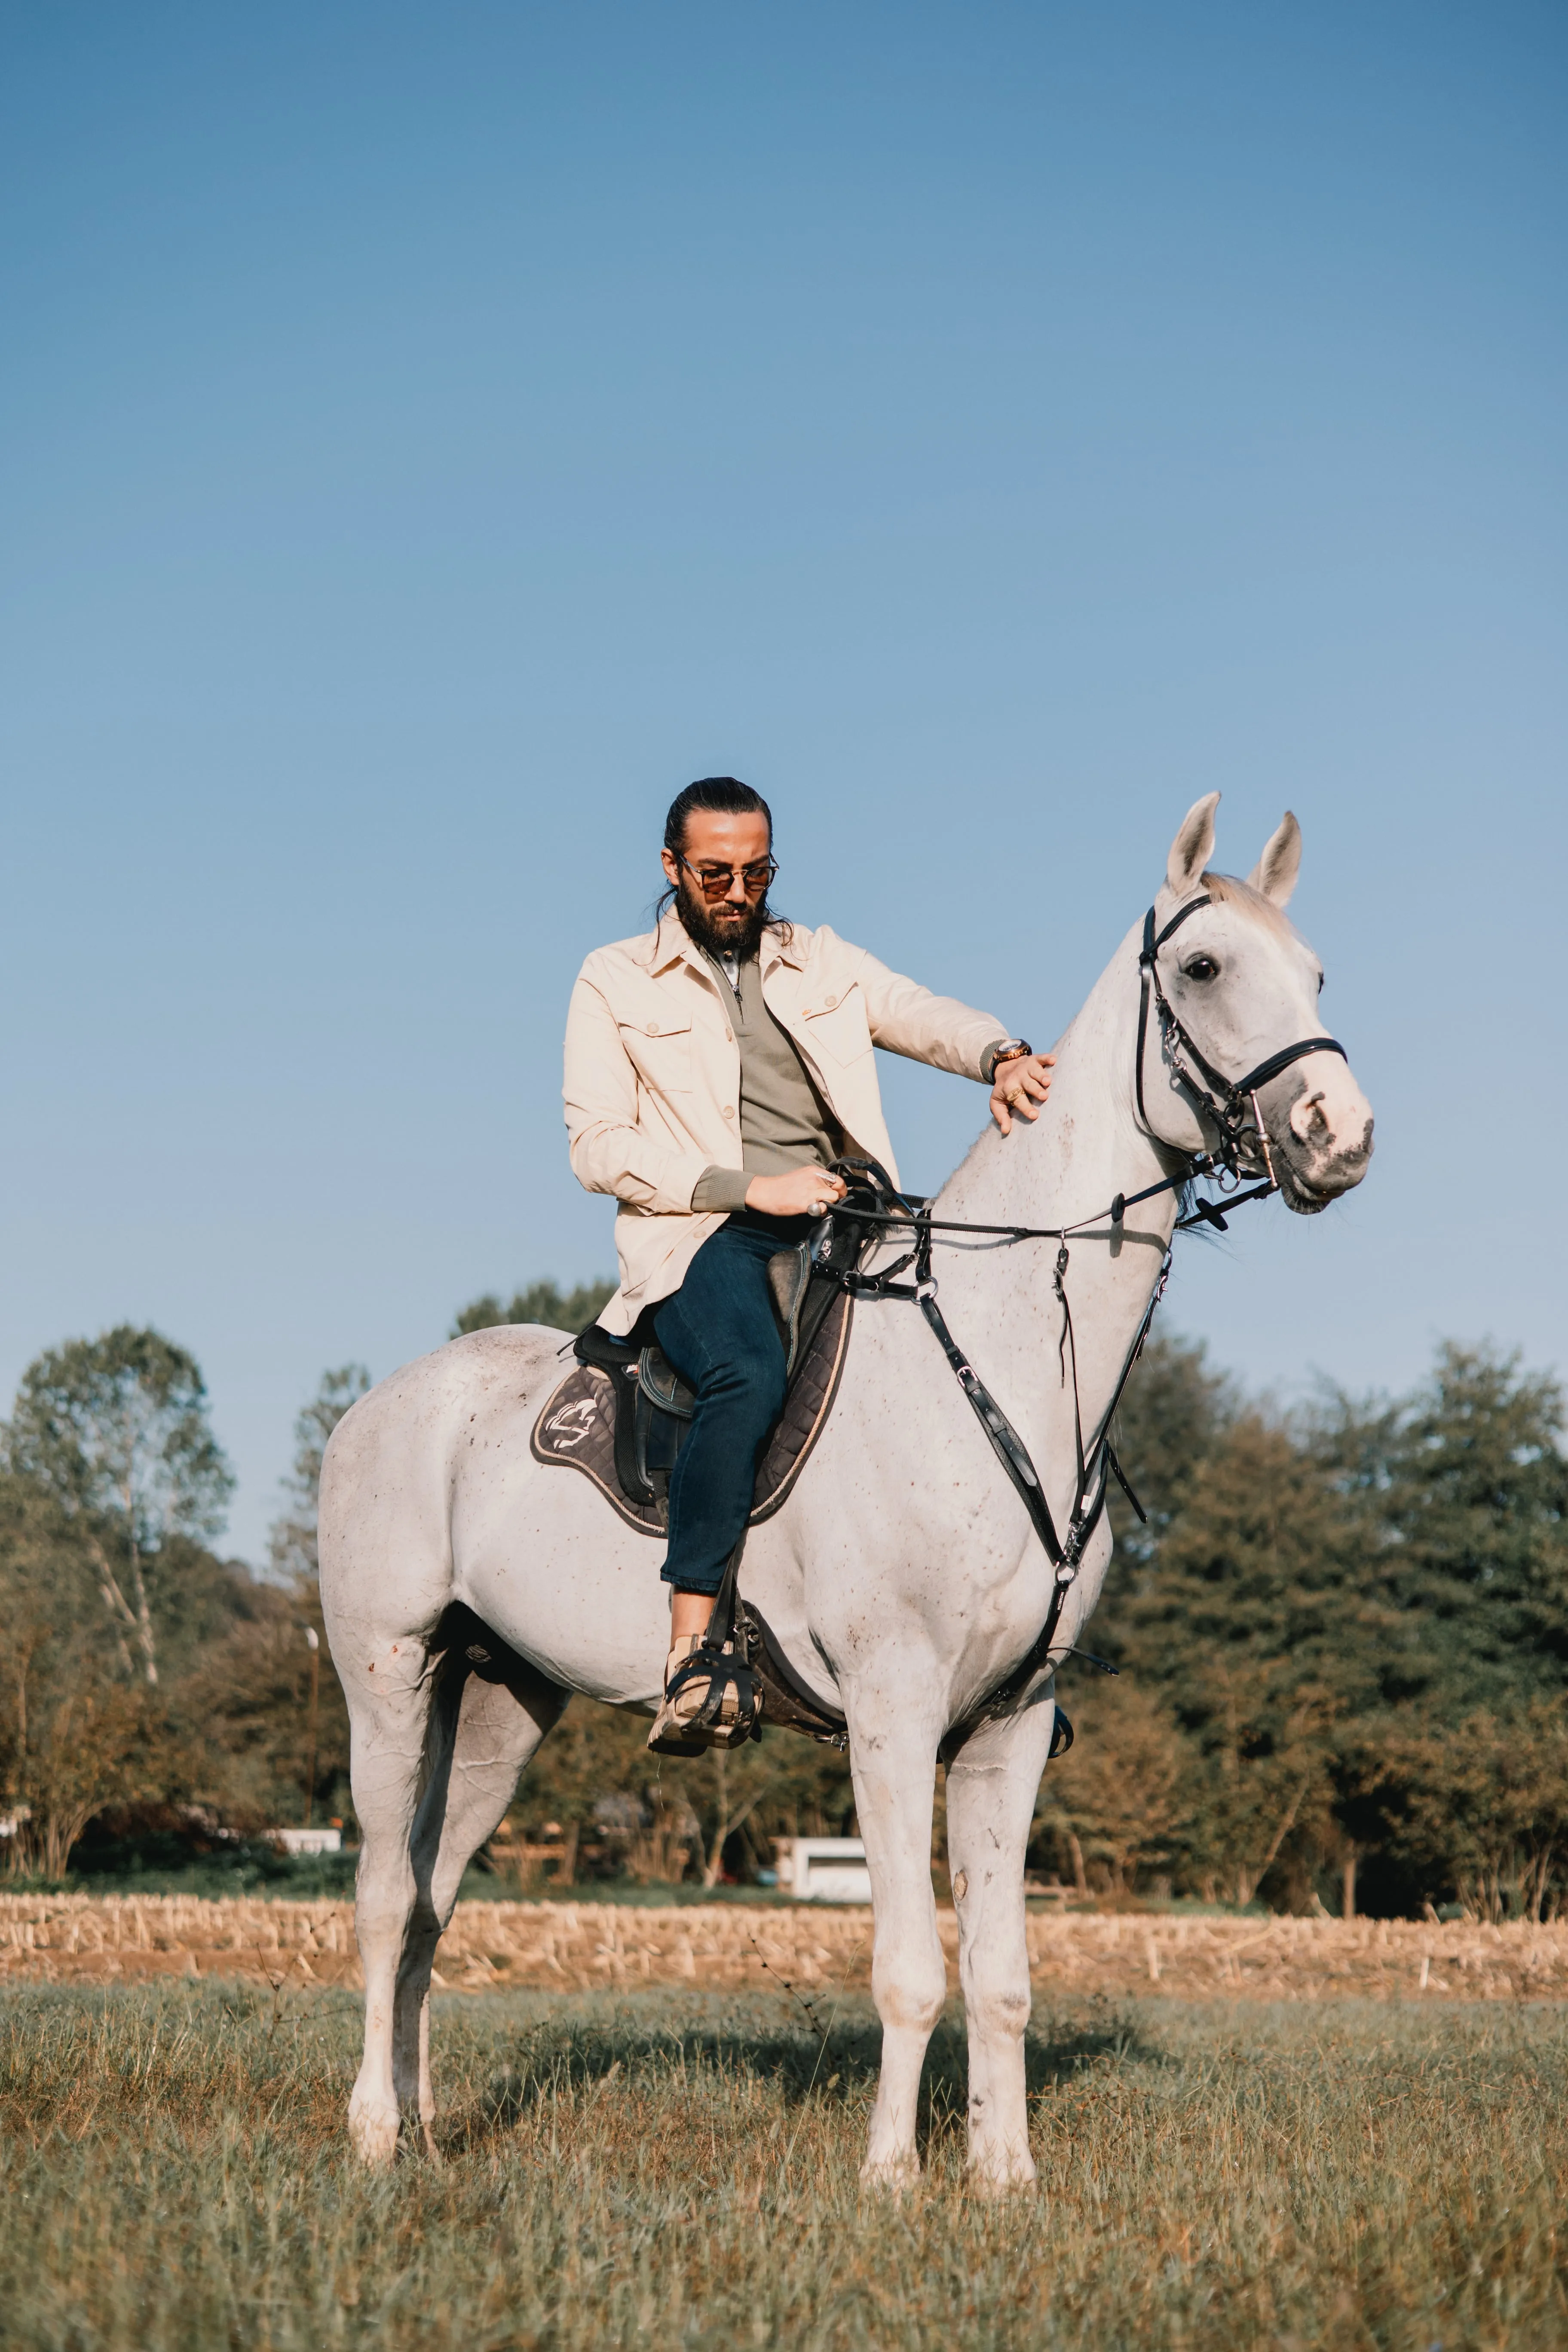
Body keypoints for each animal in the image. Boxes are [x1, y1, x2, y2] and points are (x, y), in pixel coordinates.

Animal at [322, 795, 1373, 2183]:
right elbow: (910, 1968)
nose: (1340, 1135)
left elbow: (1000, 1976)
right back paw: (375, 2131)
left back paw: (429, 2124)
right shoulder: (893, 1707)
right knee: (387, 1898)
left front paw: (1002, 2178)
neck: (1005, 1353)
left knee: (435, 1902)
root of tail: (375, 1408)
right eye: (1203, 967)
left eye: (1314, 974)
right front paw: (889, 2176)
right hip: (389, 1676)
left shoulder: (1010, 1722)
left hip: (503, 1698)